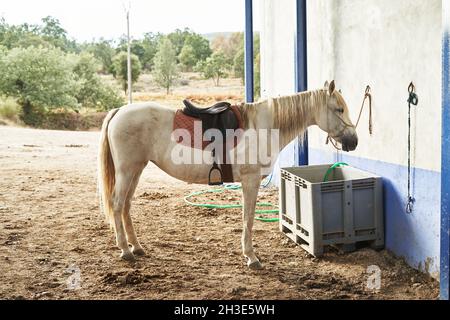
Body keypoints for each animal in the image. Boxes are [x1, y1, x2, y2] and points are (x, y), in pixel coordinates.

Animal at [96, 79, 356, 268]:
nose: (353, 141)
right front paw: (251, 257)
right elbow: (248, 218)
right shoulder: (250, 181)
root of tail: (119, 111)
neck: (263, 127)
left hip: (136, 169)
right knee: (117, 205)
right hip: (127, 171)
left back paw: (137, 247)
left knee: (126, 206)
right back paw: (125, 250)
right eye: (339, 109)